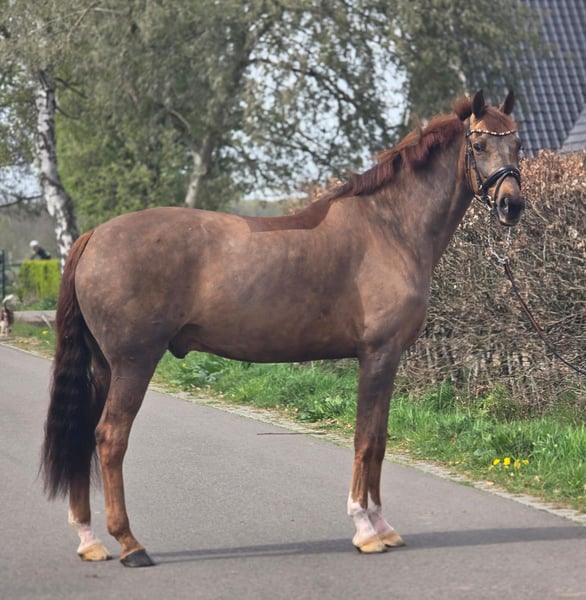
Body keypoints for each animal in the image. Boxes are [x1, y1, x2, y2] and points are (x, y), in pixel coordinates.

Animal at [41, 90, 524, 567]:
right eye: (479, 144)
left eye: (517, 144)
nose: (512, 205)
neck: (389, 226)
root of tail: (94, 237)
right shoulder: (378, 355)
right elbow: (365, 439)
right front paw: (365, 529)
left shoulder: (387, 360)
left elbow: (380, 439)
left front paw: (384, 527)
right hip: (133, 363)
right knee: (110, 438)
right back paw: (130, 544)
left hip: (104, 367)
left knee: (85, 434)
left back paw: (89, 539)